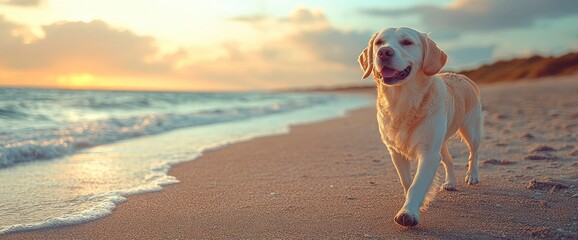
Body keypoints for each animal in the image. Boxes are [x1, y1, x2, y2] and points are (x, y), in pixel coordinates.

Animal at [356, 27, 482, 228]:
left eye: (407, 42)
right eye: (379, 43)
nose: (384, 52)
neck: (403, 101)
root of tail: (463, 76)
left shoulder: (429, 153)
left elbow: (417, 184)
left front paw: (408, 213)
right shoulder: (396, 151)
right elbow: (407, 181)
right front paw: (416, 203)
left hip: (471, 129)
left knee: (474, 153)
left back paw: (472, 176)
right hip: (441, 141)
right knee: (449, 160)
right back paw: (450, 182)